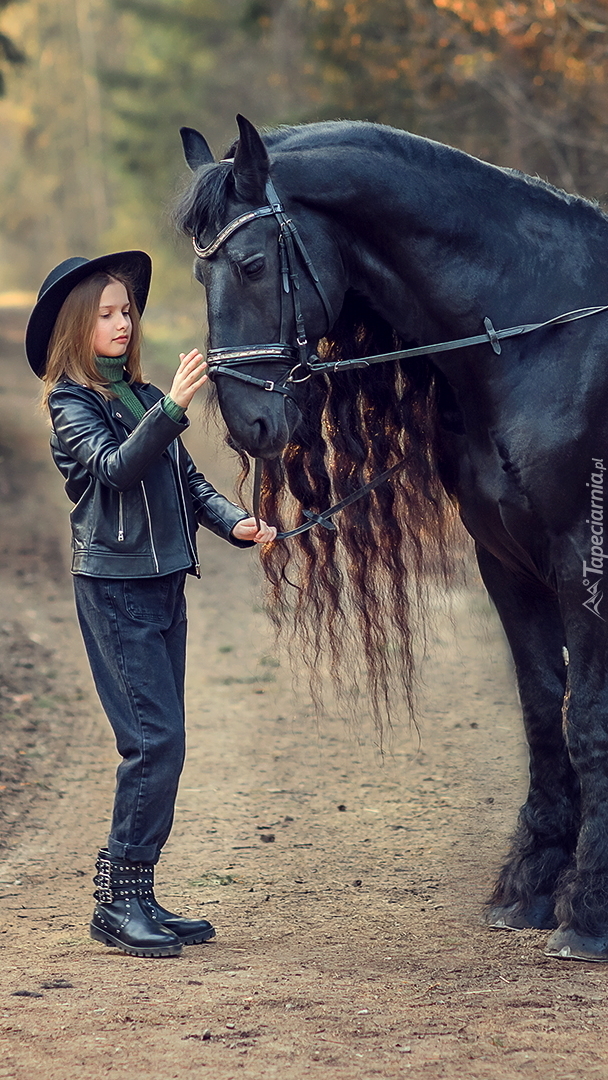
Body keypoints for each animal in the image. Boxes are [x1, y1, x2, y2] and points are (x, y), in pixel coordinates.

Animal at [176, 116, 608, 963]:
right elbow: (545, 710)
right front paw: (533, 887)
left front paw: (589, 914)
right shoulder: (507, 565)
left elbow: (585, 721)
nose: (248, 424)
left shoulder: (581, 566)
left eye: (250, 265)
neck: (537, 338)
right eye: (198, 275)